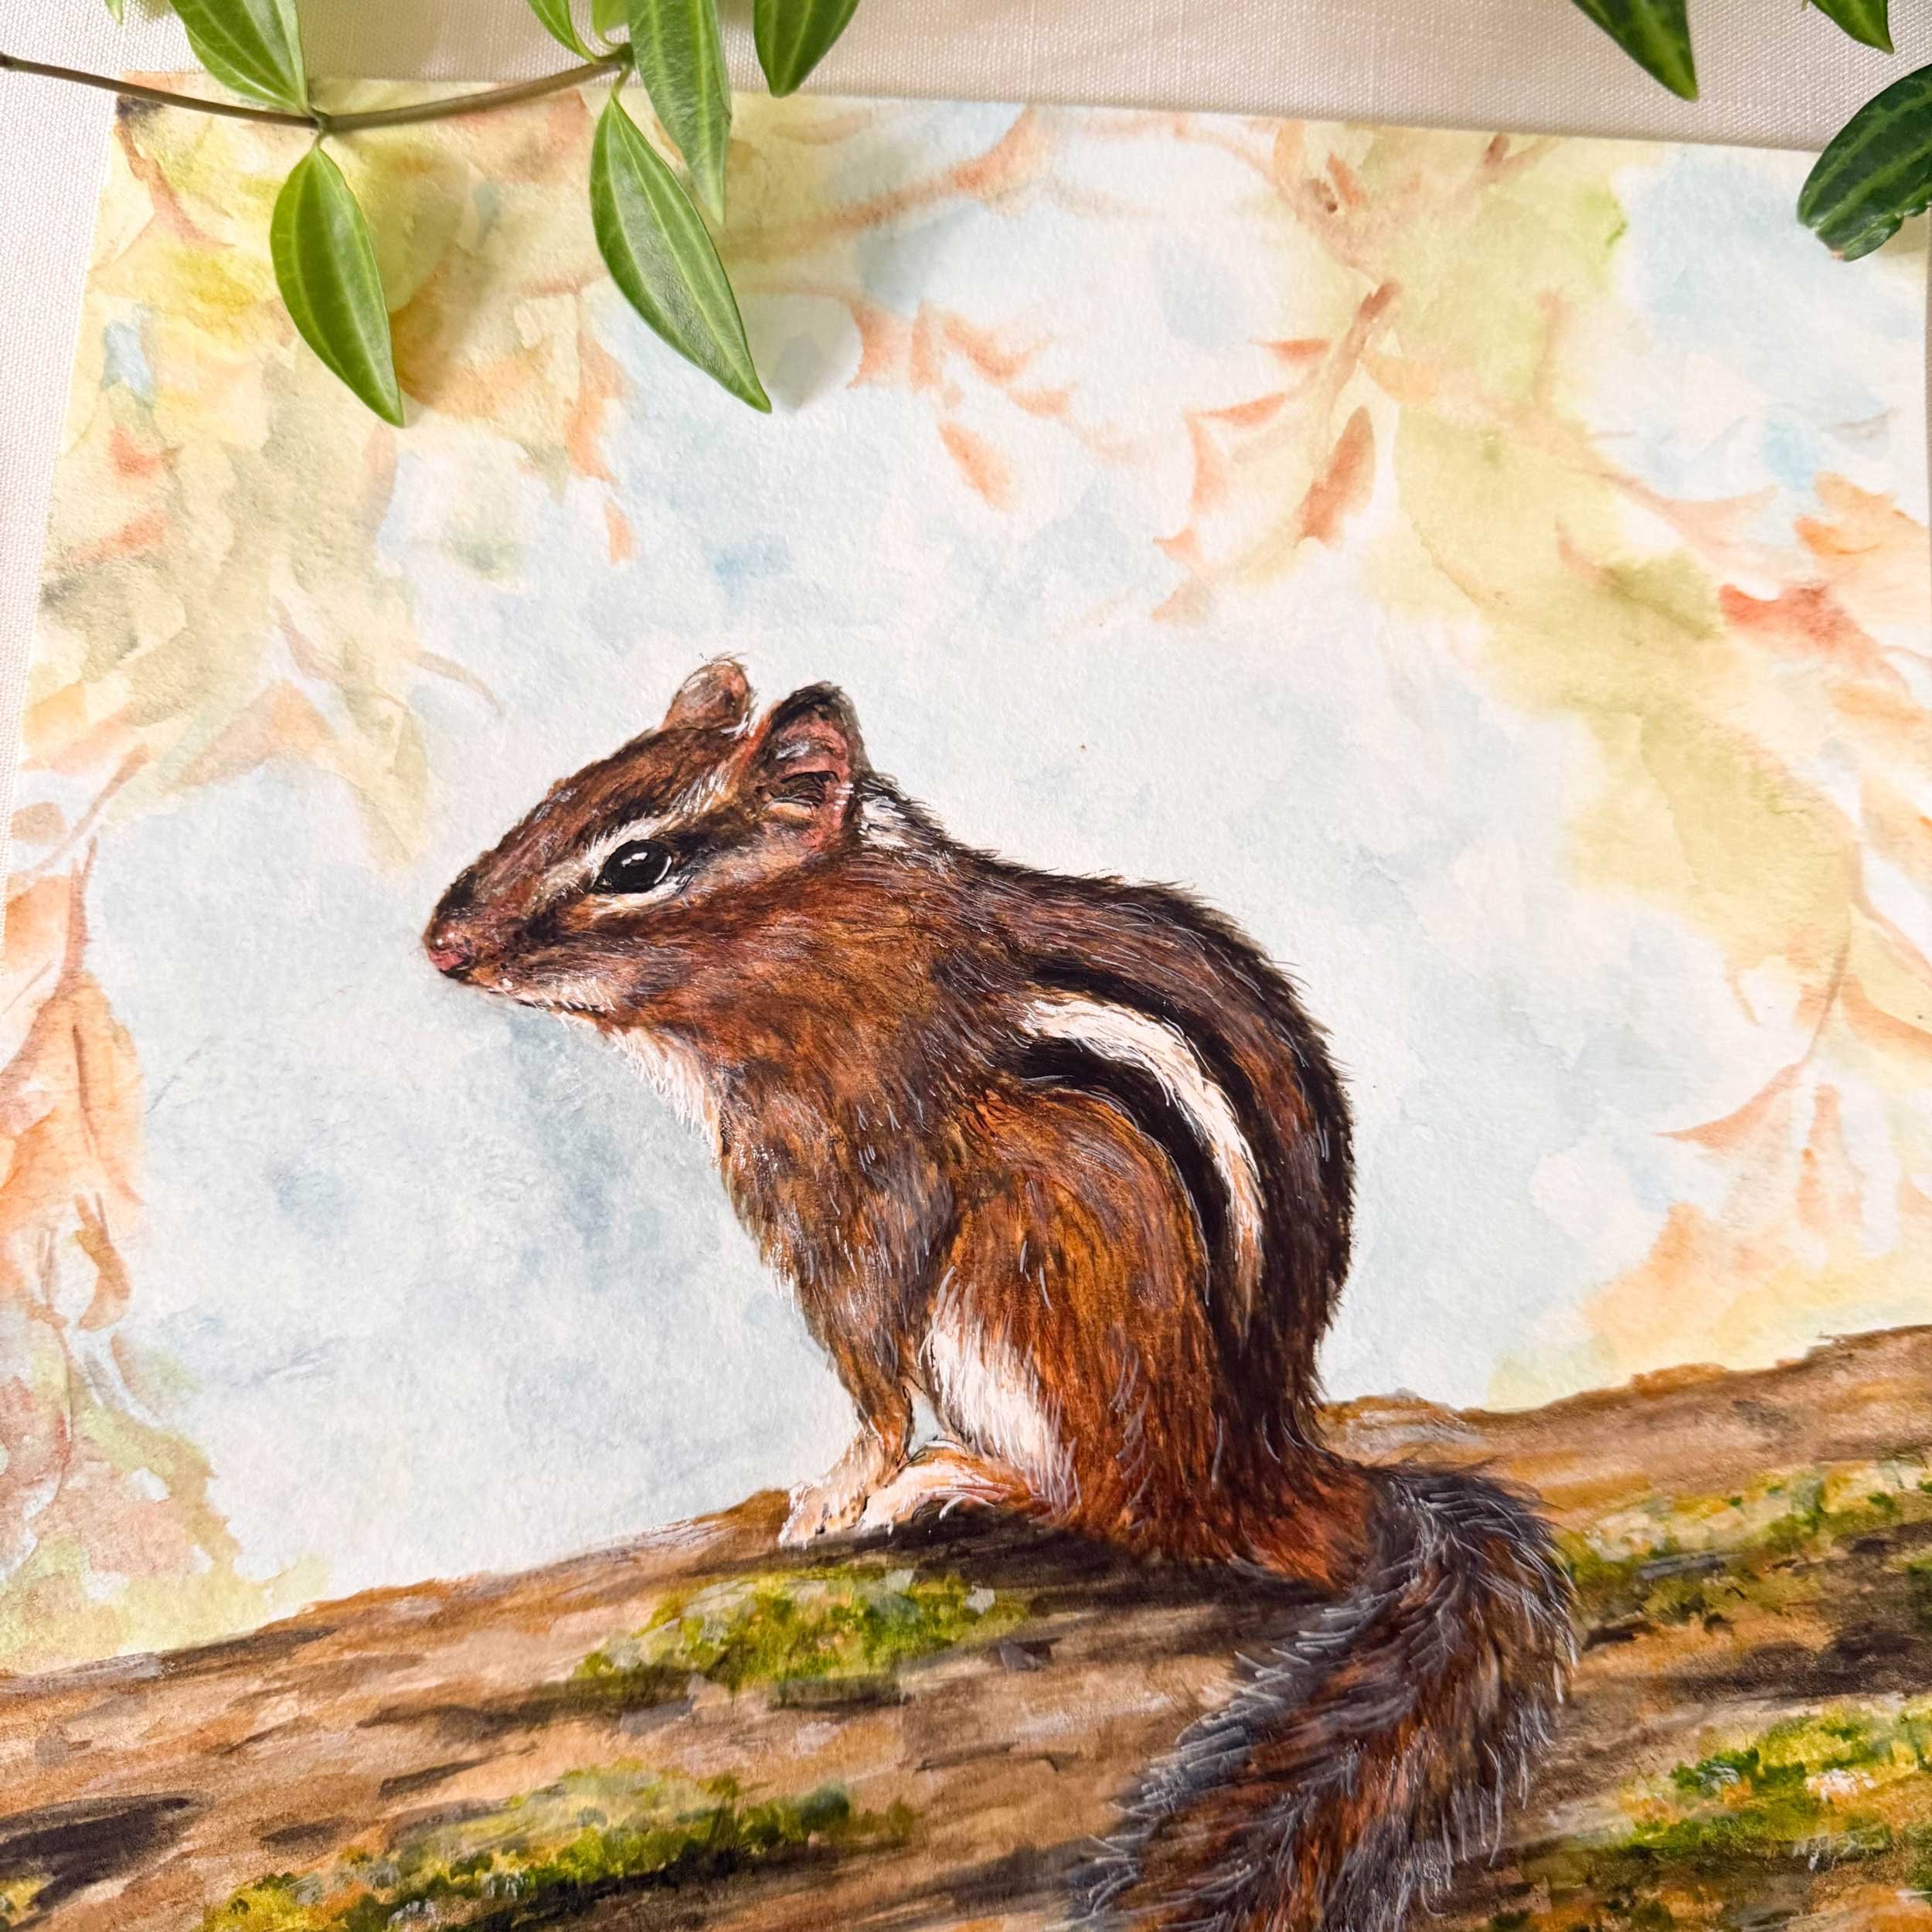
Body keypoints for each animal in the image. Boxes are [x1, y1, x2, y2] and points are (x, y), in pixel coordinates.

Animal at [425, 658, 1575, 1932]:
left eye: (635, 864)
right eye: (553, 797)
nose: (442, 944)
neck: (834, 939)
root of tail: (1256, 1463)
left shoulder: (857, 1186)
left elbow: (869, 1363)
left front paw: (844, 1488)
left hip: (1022, 1295)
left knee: (1108, 1507)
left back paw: (960, 1482)